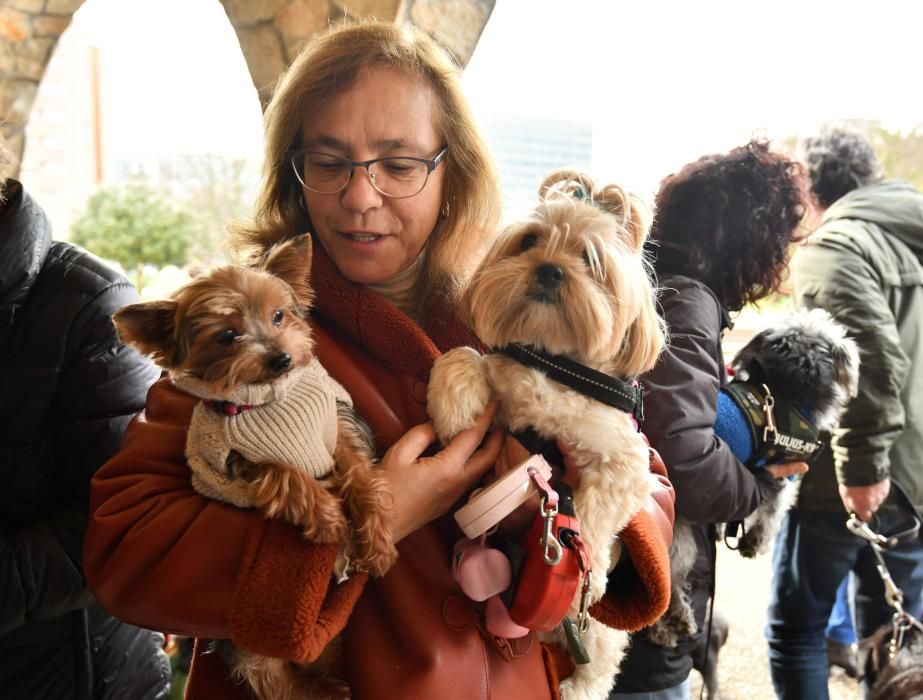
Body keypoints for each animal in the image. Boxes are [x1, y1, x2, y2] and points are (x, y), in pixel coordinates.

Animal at [426, 170, 664, 700]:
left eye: (590, 260)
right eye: (530, 241)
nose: (550, 270)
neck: (556, 363)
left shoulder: (627, 462)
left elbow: (594, 514)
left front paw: (586, 559)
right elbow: (467, 356)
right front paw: (455, 402)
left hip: (597, 634)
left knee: (601, 660)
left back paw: (578, 684)